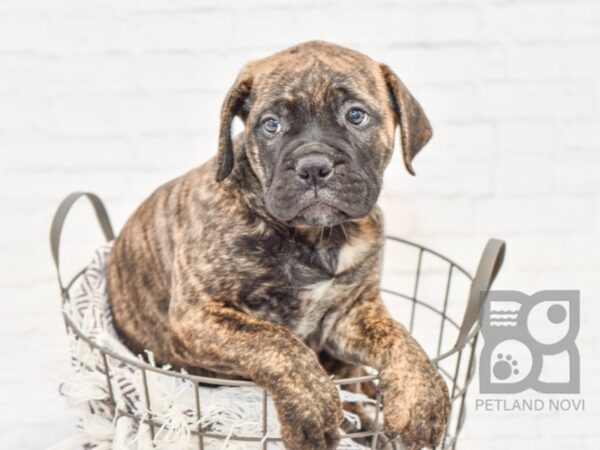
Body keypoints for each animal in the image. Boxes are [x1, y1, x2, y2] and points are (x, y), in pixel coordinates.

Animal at [105, 40, 448, 448]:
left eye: (356, 116)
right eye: (271, 125)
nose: (313, 166)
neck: (313, 237)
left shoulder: (350, 313)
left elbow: (398, 337)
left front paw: (422, 398)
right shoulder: (198, 315)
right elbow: (276, 342)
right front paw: (313, 410)